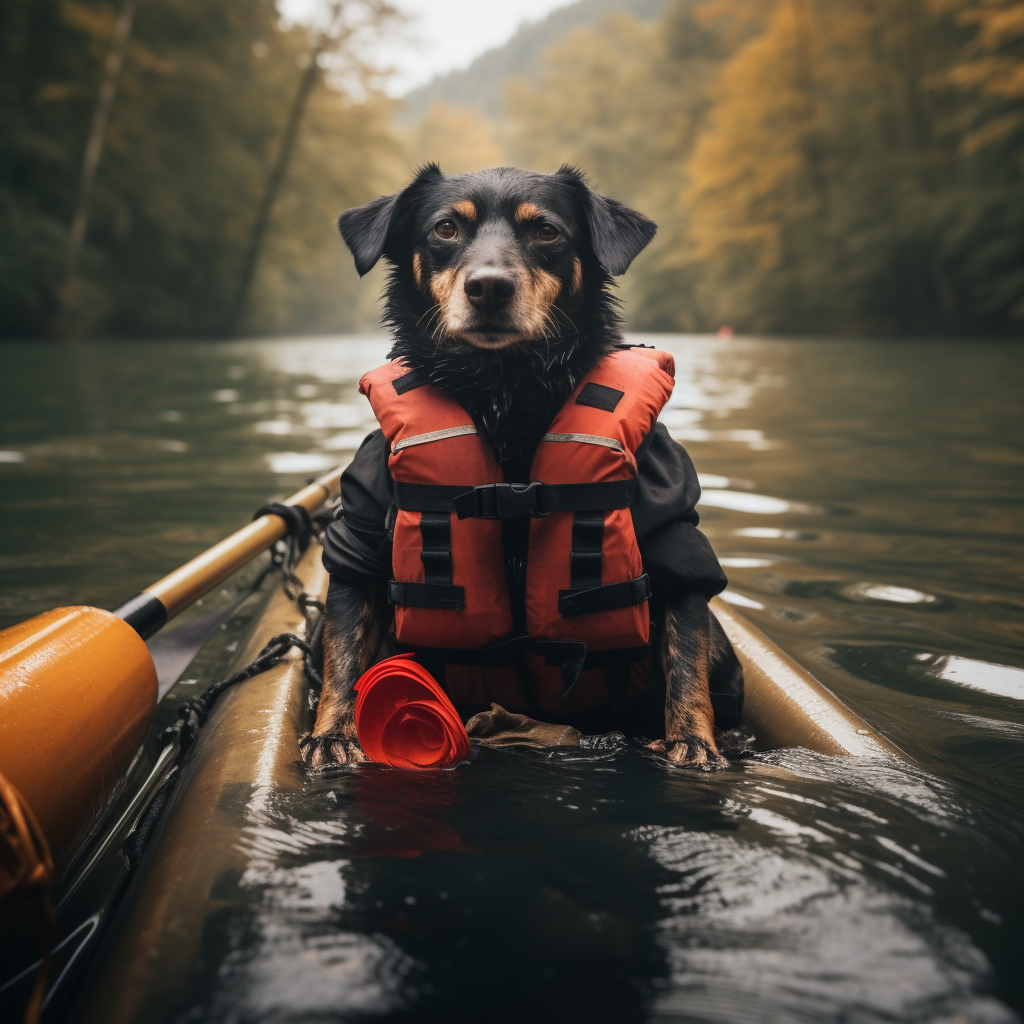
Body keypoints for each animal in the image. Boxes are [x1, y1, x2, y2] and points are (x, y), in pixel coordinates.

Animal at [299, 161, 741, 770]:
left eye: (547, 231)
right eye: (444, 228)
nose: (488, 287)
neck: (503, 394)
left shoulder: (670, 524)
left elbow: (686, 646)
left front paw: (693, 740)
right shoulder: (359, 534)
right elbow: (343, 649)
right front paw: (332, 733)